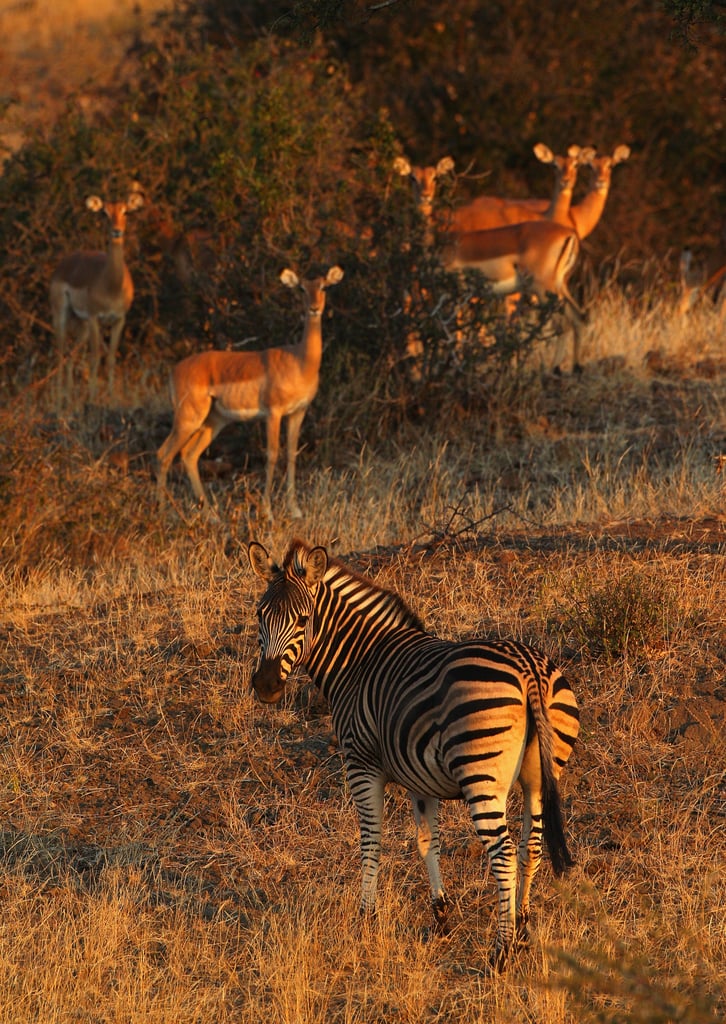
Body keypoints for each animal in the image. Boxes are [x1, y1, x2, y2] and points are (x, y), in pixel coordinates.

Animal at [247, 536, 577, 966]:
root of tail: (529, 670)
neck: (359, 661)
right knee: (531, 847)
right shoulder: (420, 777)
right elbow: (426, 843)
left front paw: (366, 917)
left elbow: (371, 840)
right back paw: (520, 931)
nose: (266, 686)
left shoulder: (361, 764)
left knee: (503, 853)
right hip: (538, 777)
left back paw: (500, 953)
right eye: (259, 615)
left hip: (481, 777)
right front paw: (441, 918)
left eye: (303, 621)